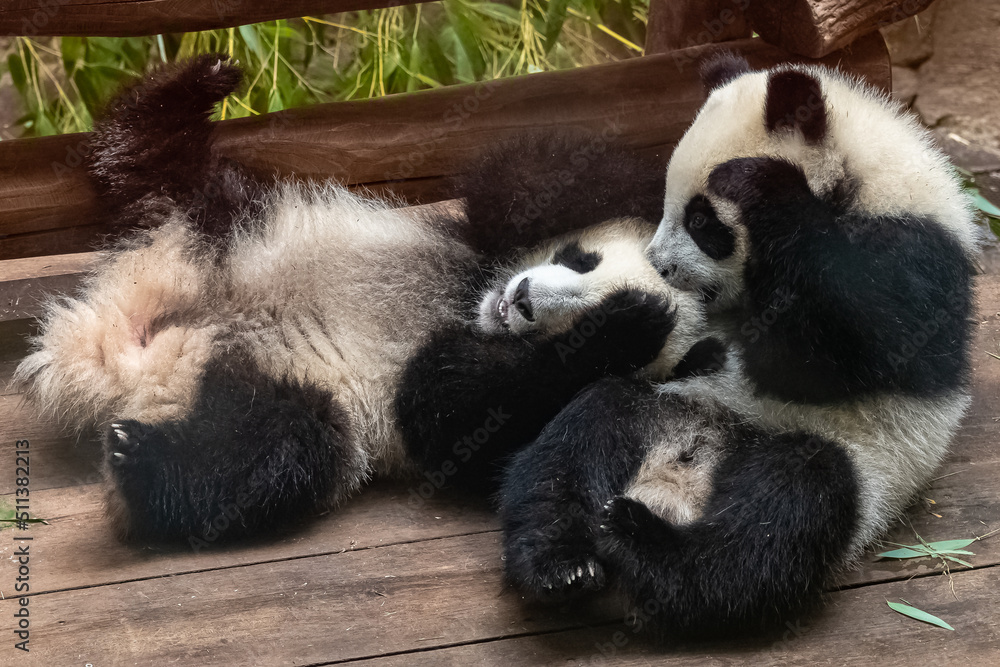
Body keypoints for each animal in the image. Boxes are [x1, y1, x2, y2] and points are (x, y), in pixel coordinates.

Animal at [13, 55, 708, 544]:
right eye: (578, 258)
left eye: (572, 318)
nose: (523, 302)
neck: (468, 300)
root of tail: (128, 355)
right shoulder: (477, 237)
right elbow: (533, 174)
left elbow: (448, 406)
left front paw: (622, 328)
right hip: (221, 229)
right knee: (161, 176)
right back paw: (186, 92)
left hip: (282, 390)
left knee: (270, 453)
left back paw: (142, 464)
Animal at [495, 53, 980, 639]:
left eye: (703, 221)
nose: (660, 266)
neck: (866, 178)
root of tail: (681, 477)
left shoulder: (916, 254)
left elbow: (825, 358)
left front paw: (762, 186)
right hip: (658, 405)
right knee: (574, 445)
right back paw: (561, 564)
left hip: (860, 462)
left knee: (780, 516)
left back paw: (644, 543)